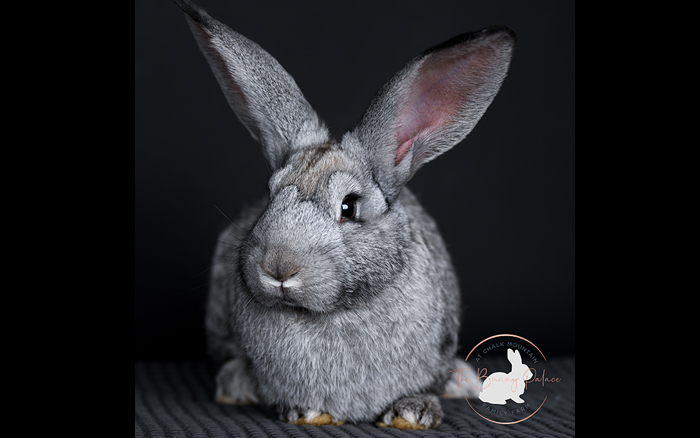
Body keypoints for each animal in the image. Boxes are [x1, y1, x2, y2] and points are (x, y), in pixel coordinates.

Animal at [174, 0, 515, 429]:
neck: (336, 312)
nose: (278, 266)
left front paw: (413, 413)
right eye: (270, 195)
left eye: (349, 207)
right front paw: (305, 411)